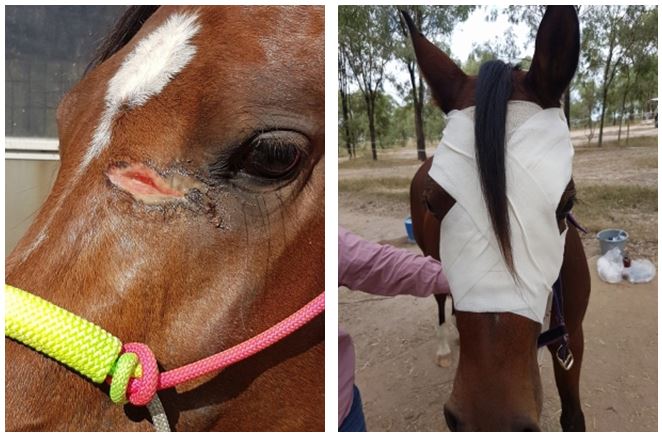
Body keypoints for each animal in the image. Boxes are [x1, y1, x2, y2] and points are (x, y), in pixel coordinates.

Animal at [404, 6, 592, 432]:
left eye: (566, 203)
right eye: (433, 204)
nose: (490, 418)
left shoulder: (572, 338)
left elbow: (573, 415)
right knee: (439, 300)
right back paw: (446, 344)